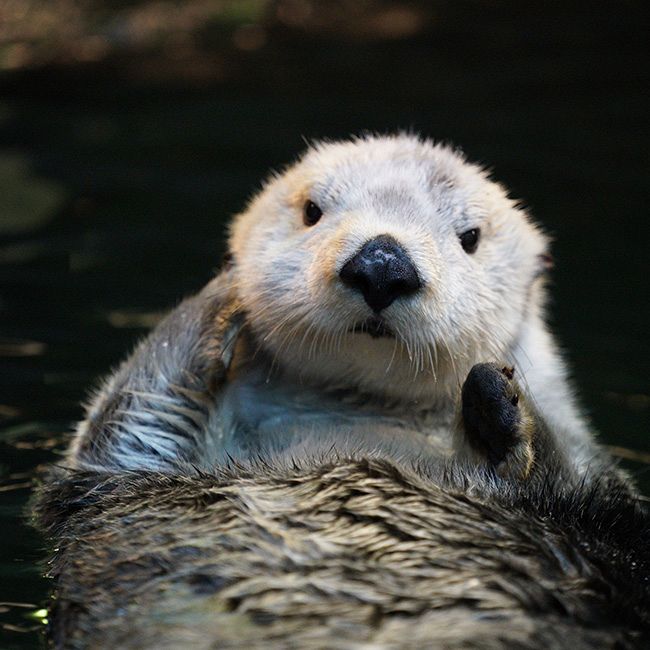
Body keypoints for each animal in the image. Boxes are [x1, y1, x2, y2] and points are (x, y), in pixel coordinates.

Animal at [36, 134, 648, 644]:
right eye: (312, 211)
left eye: (470, 237)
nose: (382, 264)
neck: (359, 414)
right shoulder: (118, 475)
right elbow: (133, 421)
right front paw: (225, 292)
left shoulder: (601, 514)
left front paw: (498, 405)